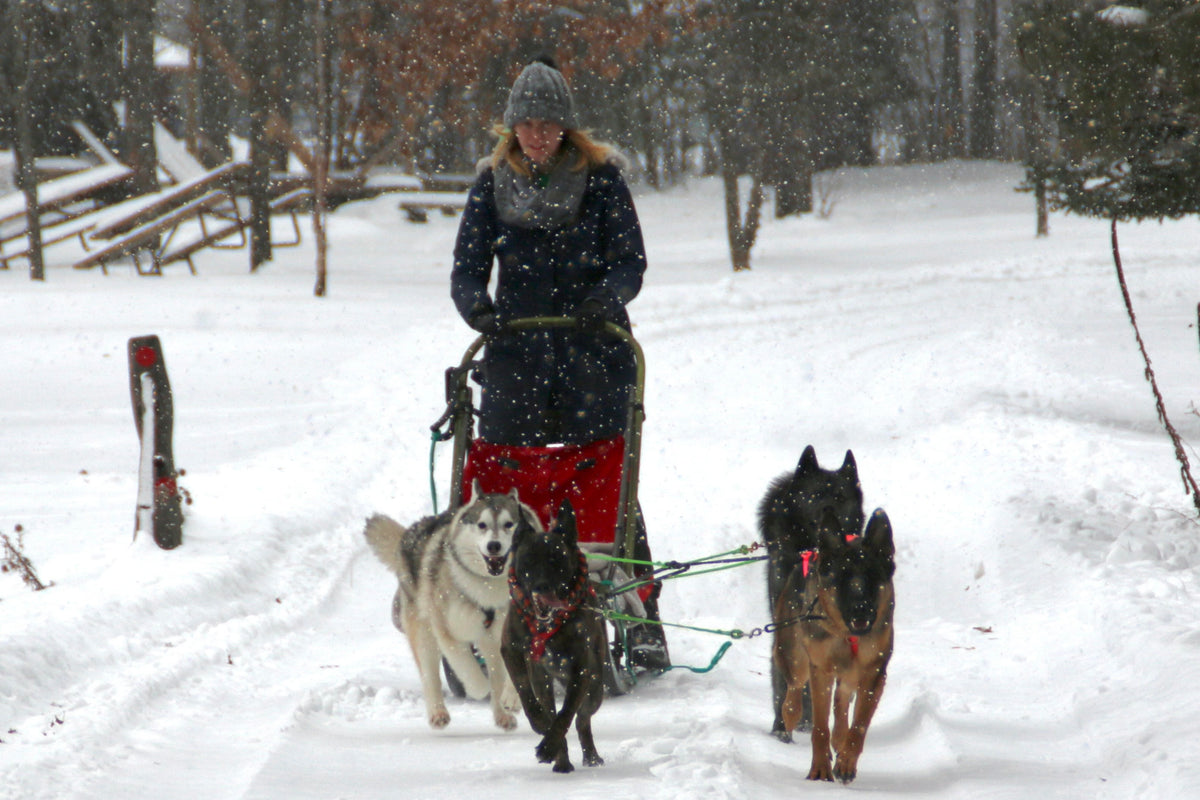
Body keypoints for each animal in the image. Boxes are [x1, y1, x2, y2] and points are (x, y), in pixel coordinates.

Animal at [499, 503, 604, 772]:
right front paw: (541, 727)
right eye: (528, 560)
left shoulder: (581, 668)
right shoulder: (511, 650)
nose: (541, 585)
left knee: (582, 719)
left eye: (557, 560)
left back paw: (589, 756)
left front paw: (548, 745)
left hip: (596, 685)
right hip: (543, 679)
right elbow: (527, 696)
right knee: (552, 708)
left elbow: (565, 715)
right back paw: (562, 759)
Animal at [772, 510, 897, 786]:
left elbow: (858, 727)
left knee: (841, 703)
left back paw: (839, 739)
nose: (860, 609)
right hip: (794, 656)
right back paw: (790, 715)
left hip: (851, 675)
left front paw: (846, 763)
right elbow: (819, 728)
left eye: (871, 577)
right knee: (794, 688)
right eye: (842, 578)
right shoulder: (822, 670)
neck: (848, 636)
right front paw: (820, 770)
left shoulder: (874, 675)